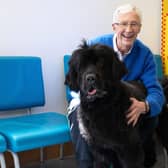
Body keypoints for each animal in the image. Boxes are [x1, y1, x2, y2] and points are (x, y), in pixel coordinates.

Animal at [64, 40, 168, 168]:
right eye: (81, 66)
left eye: (101, 63)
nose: (90, 78)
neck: (102, 106)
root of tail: (160, 82)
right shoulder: (101, 150)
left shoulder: (129, 148)